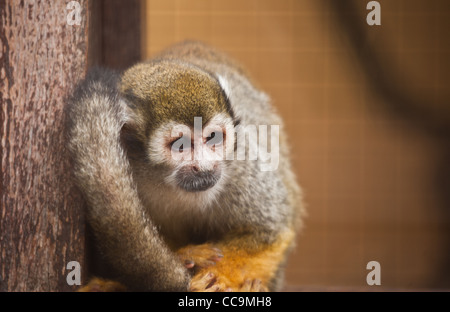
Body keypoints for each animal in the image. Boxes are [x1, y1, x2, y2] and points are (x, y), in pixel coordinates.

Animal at [67, 40, 304, 292]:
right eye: (180, 145)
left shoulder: (241, 163)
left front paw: (219, 277)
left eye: (213, 138)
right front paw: (187, 256)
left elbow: (270, 231)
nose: (203, 166)